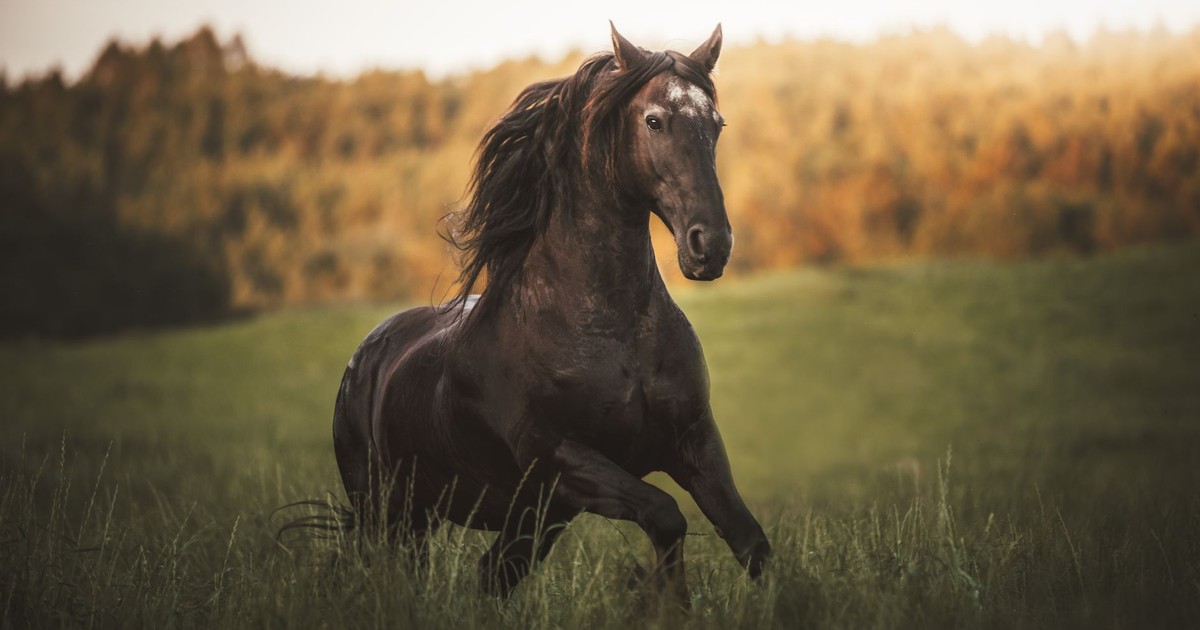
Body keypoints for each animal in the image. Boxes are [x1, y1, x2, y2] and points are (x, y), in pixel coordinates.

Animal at [332, 23, 770, 602]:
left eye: (716, 125)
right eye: (654, 120)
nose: (711, 245)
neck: (611, 333)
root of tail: (365, 356)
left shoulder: (694, 441)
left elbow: (749, 540)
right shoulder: (560, 459)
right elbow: (666, 516)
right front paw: (662, 604)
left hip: (527, 520)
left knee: (491, 574)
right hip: (390, 511)